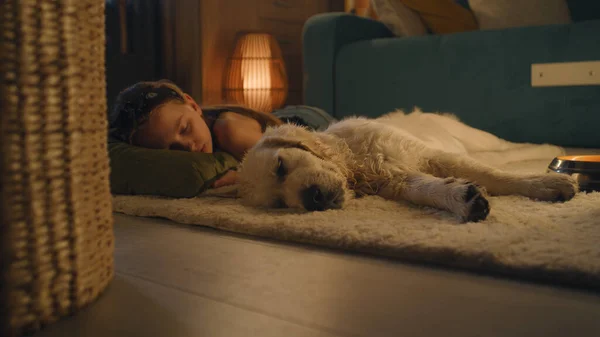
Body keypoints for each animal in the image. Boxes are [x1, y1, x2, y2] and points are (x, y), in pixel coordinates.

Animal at [234, 109, 576, 222]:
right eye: (279, 203)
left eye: (280, 166)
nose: (312, 199)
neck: (355, 162)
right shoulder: (396, 180)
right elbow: (426, 188)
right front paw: (462, 198)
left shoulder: (432, 154)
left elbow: (493, 175)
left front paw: (546, 184)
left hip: (477, 139)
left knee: (510, 150)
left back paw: (555, 151)